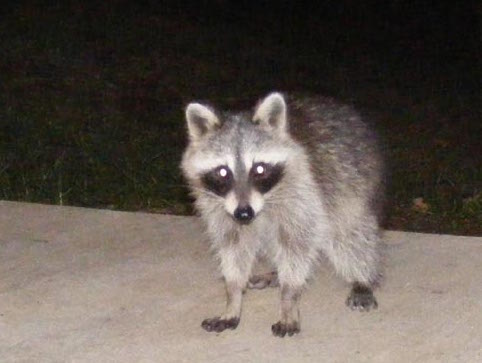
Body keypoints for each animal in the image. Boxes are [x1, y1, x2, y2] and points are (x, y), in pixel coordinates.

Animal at [181, 92, 384, 336]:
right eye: (222, 172)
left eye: (259, 169)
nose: (244, 213)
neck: (263, 202)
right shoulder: (220, 209)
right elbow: (233, 248)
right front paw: (233, 296)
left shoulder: (304, 195)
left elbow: (297, 246)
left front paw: (289, 297)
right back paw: (275, 273)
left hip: (350, 184)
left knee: (350, 233)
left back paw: (362, 277)